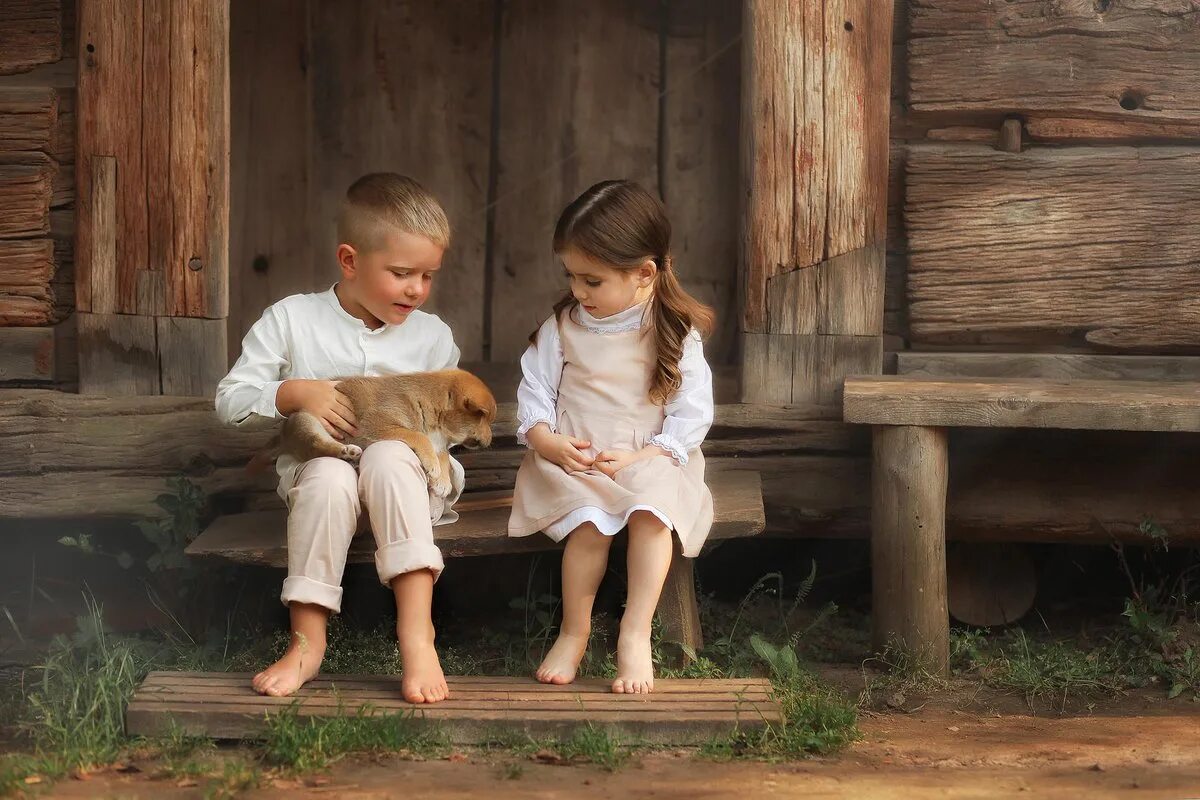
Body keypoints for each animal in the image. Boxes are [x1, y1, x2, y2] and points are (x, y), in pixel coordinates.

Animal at [261, 371, 492, 496]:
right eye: (484, 418)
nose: (491, 439)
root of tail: (282, 432)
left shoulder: (440, 442)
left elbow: (443, 453)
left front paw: (442, 480)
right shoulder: (375, 425)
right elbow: (419, 436)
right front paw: (433, 467)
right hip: (309, 422)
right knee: (315, 447)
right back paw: (346, 451)